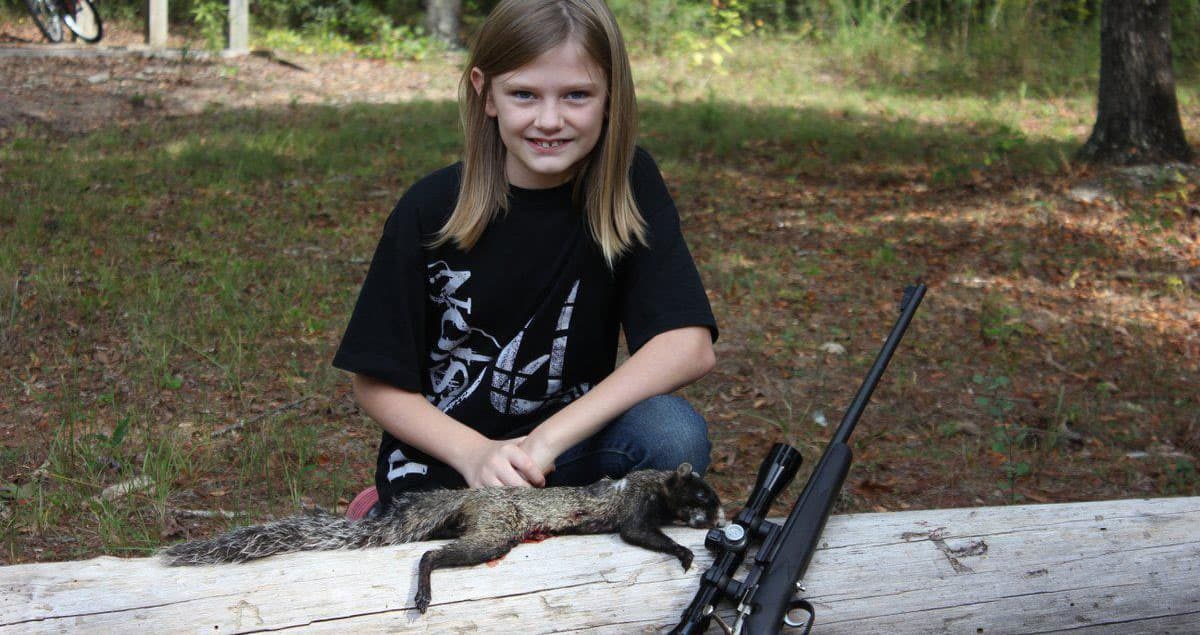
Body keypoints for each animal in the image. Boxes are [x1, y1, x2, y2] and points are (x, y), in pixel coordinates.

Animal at [159, 463, 720, 612]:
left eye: (714, 500)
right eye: (700, 499)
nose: (715, 519)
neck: (657, 481)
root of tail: (467, 498)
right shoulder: (635, 508)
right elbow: (640, 532)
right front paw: (682, 551)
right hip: (494, 534)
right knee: (431, 553)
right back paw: (425, 588)